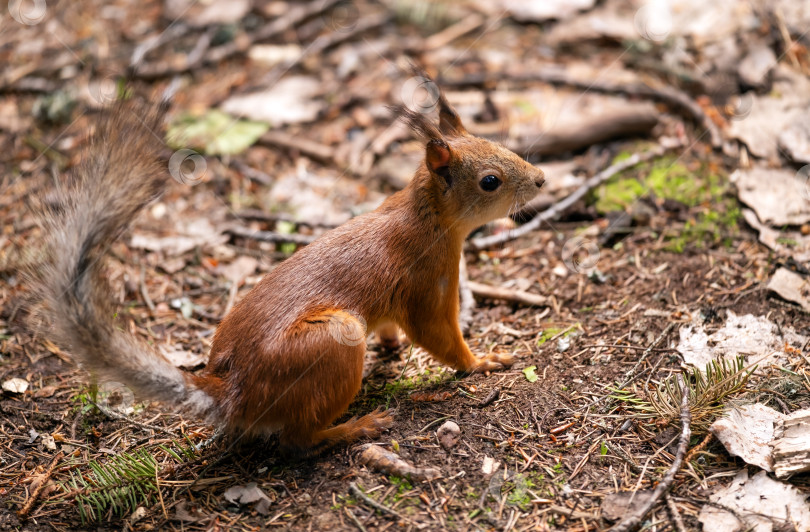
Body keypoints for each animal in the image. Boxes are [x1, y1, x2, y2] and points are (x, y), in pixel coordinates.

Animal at [31, 75, 548, 454]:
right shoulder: (428, 281)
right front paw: (482, 361)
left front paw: (393, 346)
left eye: (498, 144)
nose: (542, 179)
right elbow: (439, 336)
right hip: (334, 340)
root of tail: (233, 393)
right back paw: (355, 428)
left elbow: (393, 326)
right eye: (489, 181)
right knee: (298, 440)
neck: (426, 216)